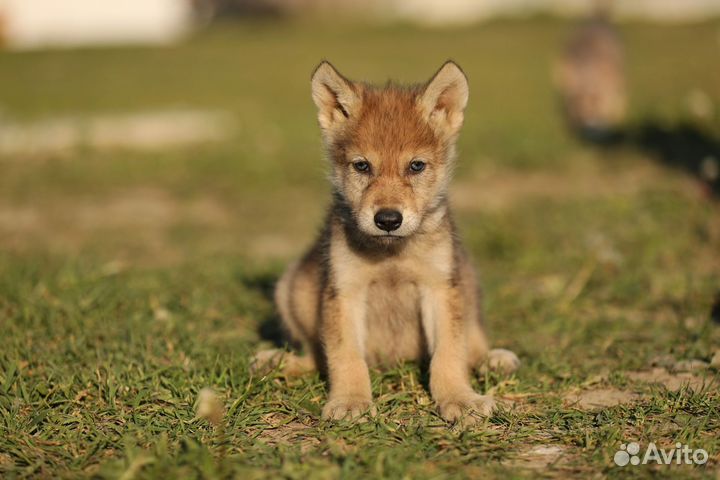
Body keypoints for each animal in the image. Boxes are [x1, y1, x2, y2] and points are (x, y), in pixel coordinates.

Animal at [256, 61, 520, 424]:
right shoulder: (345, 291)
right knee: (315, 356)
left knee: (474, 343)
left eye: (416, 166)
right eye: (362, 166)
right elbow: (345, 356)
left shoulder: (439, 287)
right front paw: (351, 400)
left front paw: (459, 398)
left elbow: (449, 353)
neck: (391, 254)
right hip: (291, 290)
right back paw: (278, 362)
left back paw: (493, 359)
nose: (388, 220)